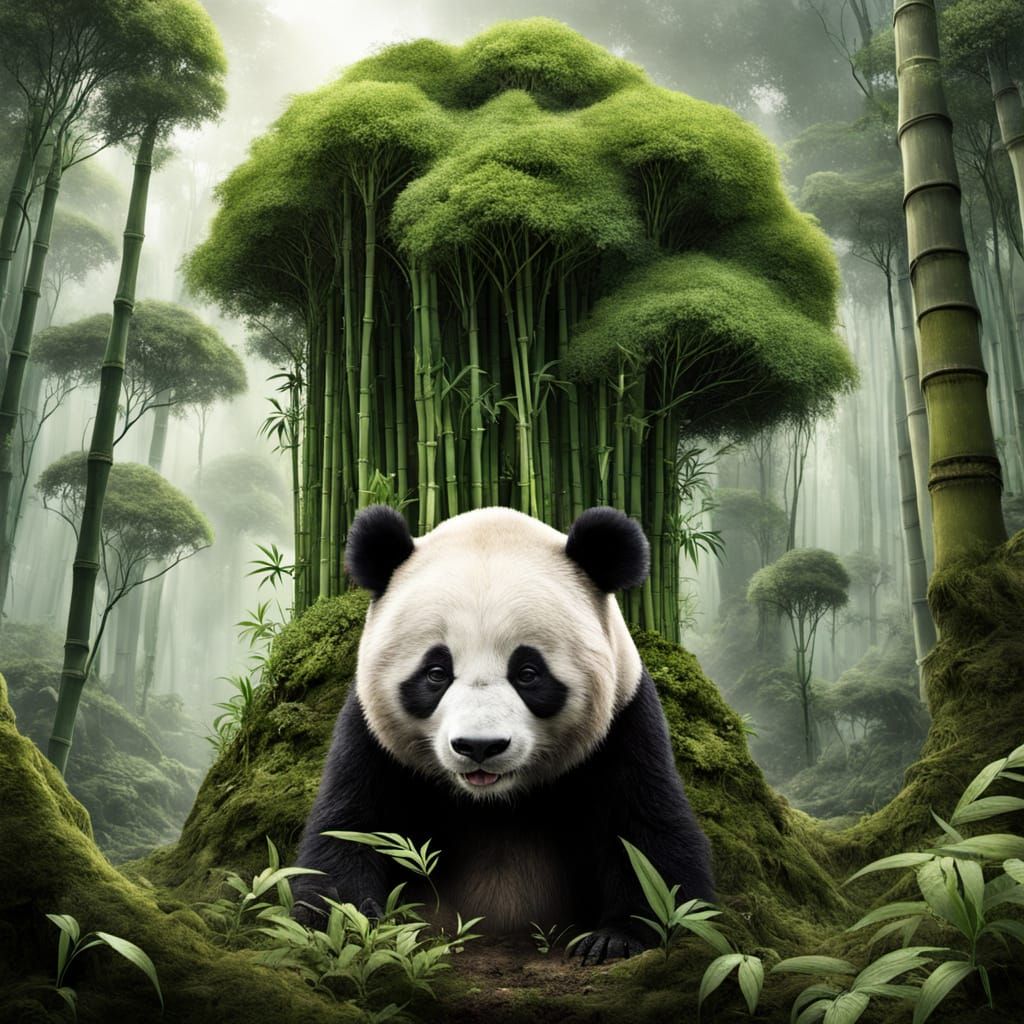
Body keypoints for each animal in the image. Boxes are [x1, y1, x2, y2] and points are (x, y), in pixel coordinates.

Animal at [291, 504, 715, 964]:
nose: (480, 747)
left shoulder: (624, 724)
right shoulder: (371, 737)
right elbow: (347, 831)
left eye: (528, 673)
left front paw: (614, 939)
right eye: (436, 672)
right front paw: (346, 921)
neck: (492, 803)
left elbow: (648, 837)